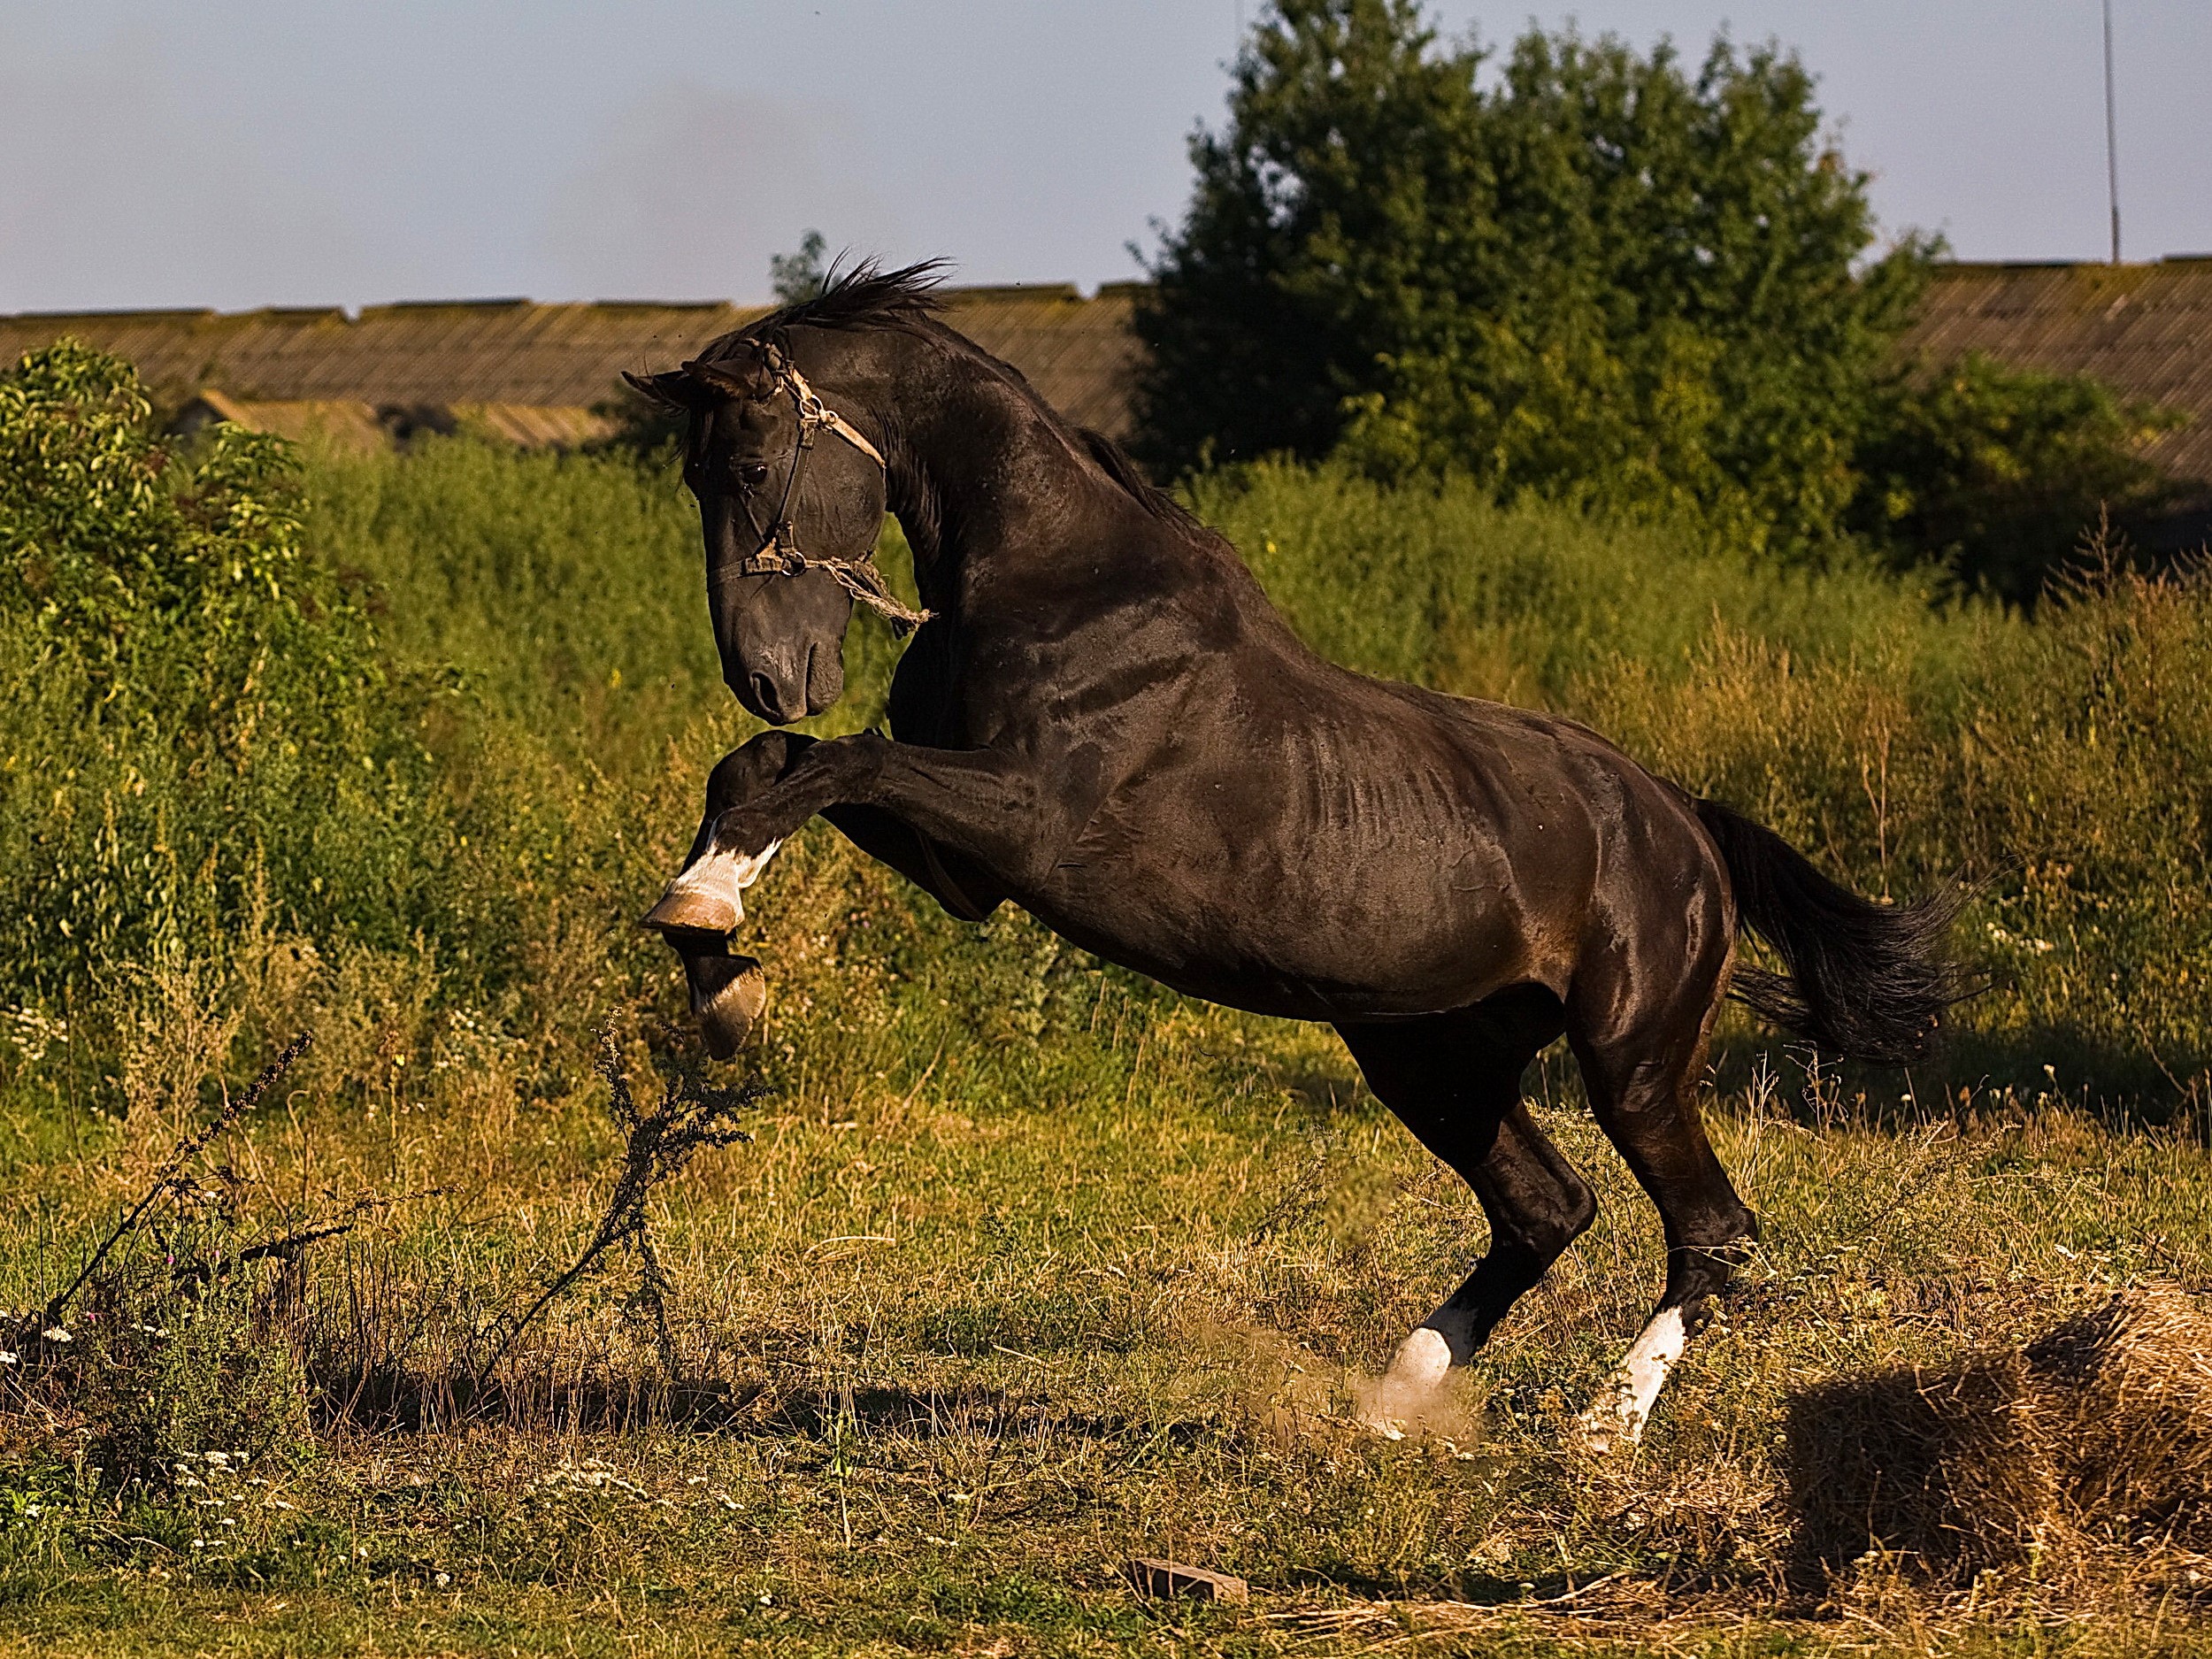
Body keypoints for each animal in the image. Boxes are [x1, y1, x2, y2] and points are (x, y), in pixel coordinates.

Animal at [624, 263, 1969, 1447]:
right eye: (693, 475)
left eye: (751, 465)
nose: (771, 670)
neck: (1056, 583)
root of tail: (1688, 828)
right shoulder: (972, 872)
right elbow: (767, 767)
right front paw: (714, 951)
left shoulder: (1030, 823)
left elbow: (836, 763)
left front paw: (712, 928)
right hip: (1430, 1055)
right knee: (1548, 1209)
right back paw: (1393, 1398)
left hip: (1629, 1059)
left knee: (1712, 1227)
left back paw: (1604, 1426)